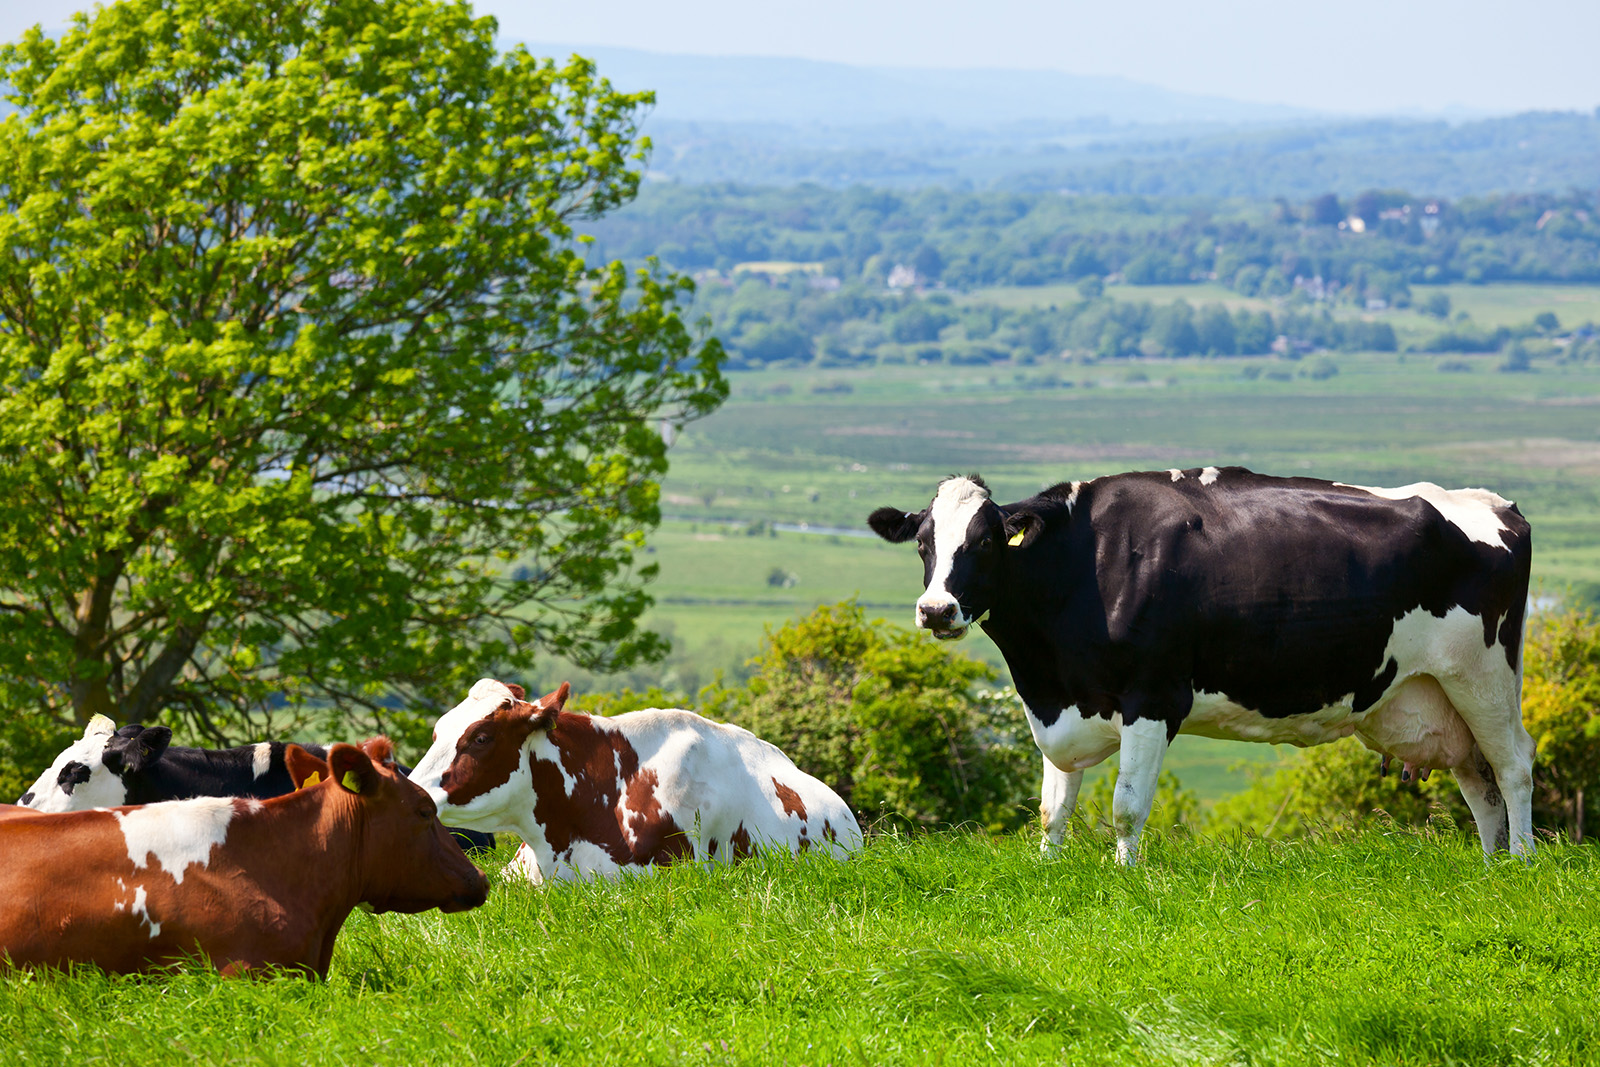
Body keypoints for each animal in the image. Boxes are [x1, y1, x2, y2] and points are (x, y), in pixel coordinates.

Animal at [876, 470, 1536, 870]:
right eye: (923, 544)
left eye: (985, 541)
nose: (936, 610)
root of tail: (1494, 503)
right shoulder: (1060, 704)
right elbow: (1053, 806)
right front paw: (1048, 868)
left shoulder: (1153, 697)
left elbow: (1127, 804)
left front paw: (1124, 876)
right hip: (1438, 695)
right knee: (1479, 781)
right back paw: (1488, 866)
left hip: (1485, 676)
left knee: (1514, 766)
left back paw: (1521, 863)